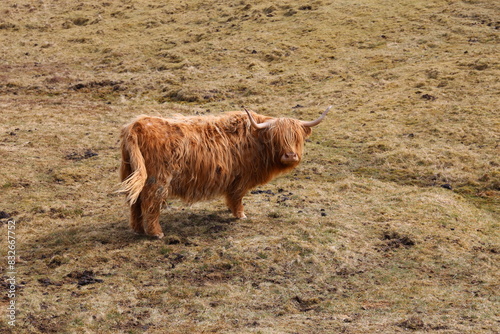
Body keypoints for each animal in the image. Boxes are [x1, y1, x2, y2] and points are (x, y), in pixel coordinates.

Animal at [118, 106, 330, 237]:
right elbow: (237, 197)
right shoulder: (241, 178)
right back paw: (156, 233)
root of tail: (136, 124)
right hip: (158, 179)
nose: (290, 156)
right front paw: (240, 215)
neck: (256, 140)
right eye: (276, 137)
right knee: (150, 202)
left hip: (132, 171)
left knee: (135, 202)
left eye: (297, 137)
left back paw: (137, 229)